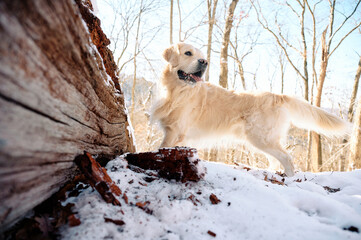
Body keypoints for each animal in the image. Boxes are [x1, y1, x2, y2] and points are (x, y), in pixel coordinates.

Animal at [152, 42, 348, 176]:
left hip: (261, 138)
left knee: (287, 158)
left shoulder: (174, 132)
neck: (177, 91)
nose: (204, 62)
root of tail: (277, 95)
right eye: (188, 53)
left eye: (200, 56)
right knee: (275, 160)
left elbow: (159, 150)